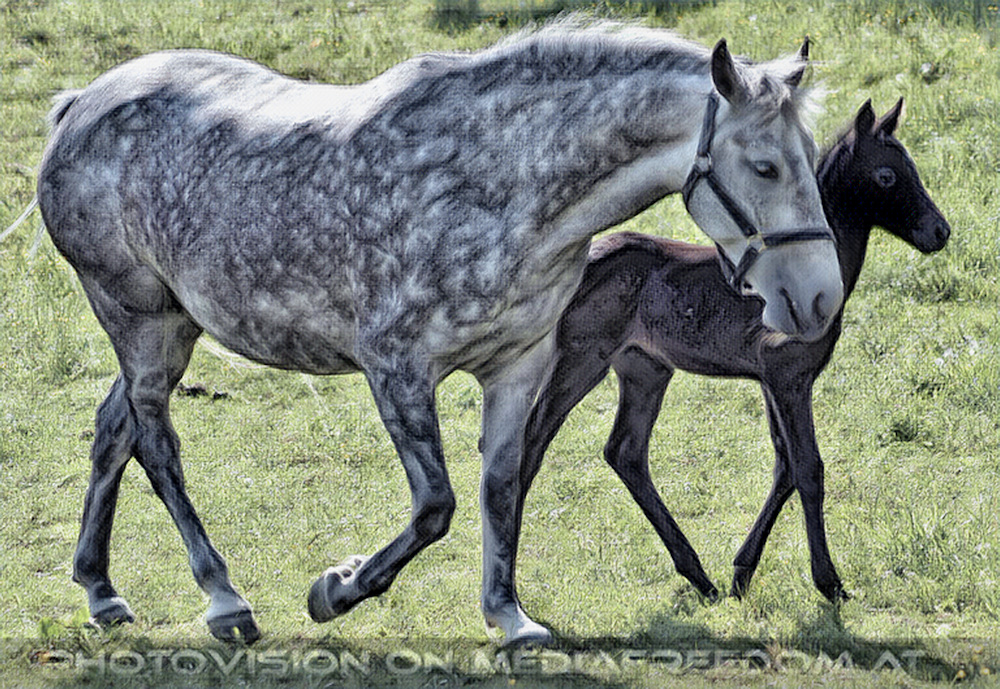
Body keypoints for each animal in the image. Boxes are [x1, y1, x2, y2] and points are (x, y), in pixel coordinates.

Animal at [36, 22, 843, 644]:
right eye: (765, 166)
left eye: (810, 159)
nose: (820, 296)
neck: (498, 184)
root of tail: (80, 106)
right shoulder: (396, 368)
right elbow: (436, 505)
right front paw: (337, 588)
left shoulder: (518, 366)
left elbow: (501, 487)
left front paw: (508, 616)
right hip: (138, 320)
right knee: (157, 445)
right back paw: (225, 600)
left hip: (173, 327)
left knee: (113, 429)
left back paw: (100, 590)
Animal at [522, 98, 950, 611]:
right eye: (887, 175)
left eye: (913, 167)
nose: (940, 231)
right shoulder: (789, 377)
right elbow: (808, 468)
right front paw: (830, 583)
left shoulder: (772, 380)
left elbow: (785, 466)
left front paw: (742, 572)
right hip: (582, 358)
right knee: (531, 442)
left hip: (646, 369)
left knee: (625, 452)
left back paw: (698, 576)